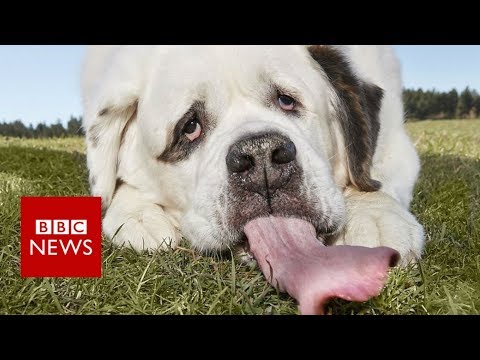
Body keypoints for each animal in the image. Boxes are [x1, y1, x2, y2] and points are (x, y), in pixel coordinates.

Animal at [81, 44, 424, 264]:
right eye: (190, 127)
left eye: (286, 100)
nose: (260, 155)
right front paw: (137, 214)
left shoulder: (396, 143)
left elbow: (371, 177)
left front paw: (374, 217)